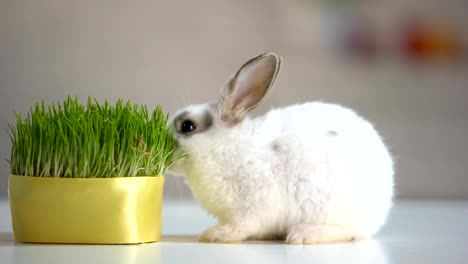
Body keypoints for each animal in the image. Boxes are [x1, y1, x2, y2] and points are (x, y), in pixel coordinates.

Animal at [170, 52, 394, 244]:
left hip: (332, 210)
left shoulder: (253, 208)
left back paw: (303, 234)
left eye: (188, 126)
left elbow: (241, 226)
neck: (225, 147)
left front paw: (213, 234)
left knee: (346, 232)